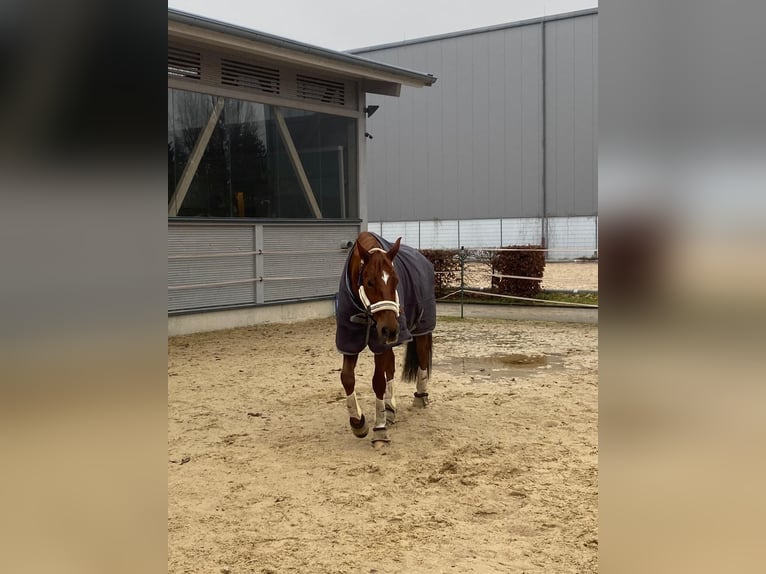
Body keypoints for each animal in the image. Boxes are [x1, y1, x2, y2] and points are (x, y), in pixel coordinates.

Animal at [334, 232, 436, 444]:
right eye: (370, 282)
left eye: (396, 281)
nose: (390, 330)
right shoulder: (349, 340)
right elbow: (347, 377)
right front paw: (358, 423)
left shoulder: (380, 343)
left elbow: (377, 381)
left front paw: (379, 429)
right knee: (391, 366)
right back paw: (389, 409)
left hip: (420, 330)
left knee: (422, 357)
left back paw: (420, 397)